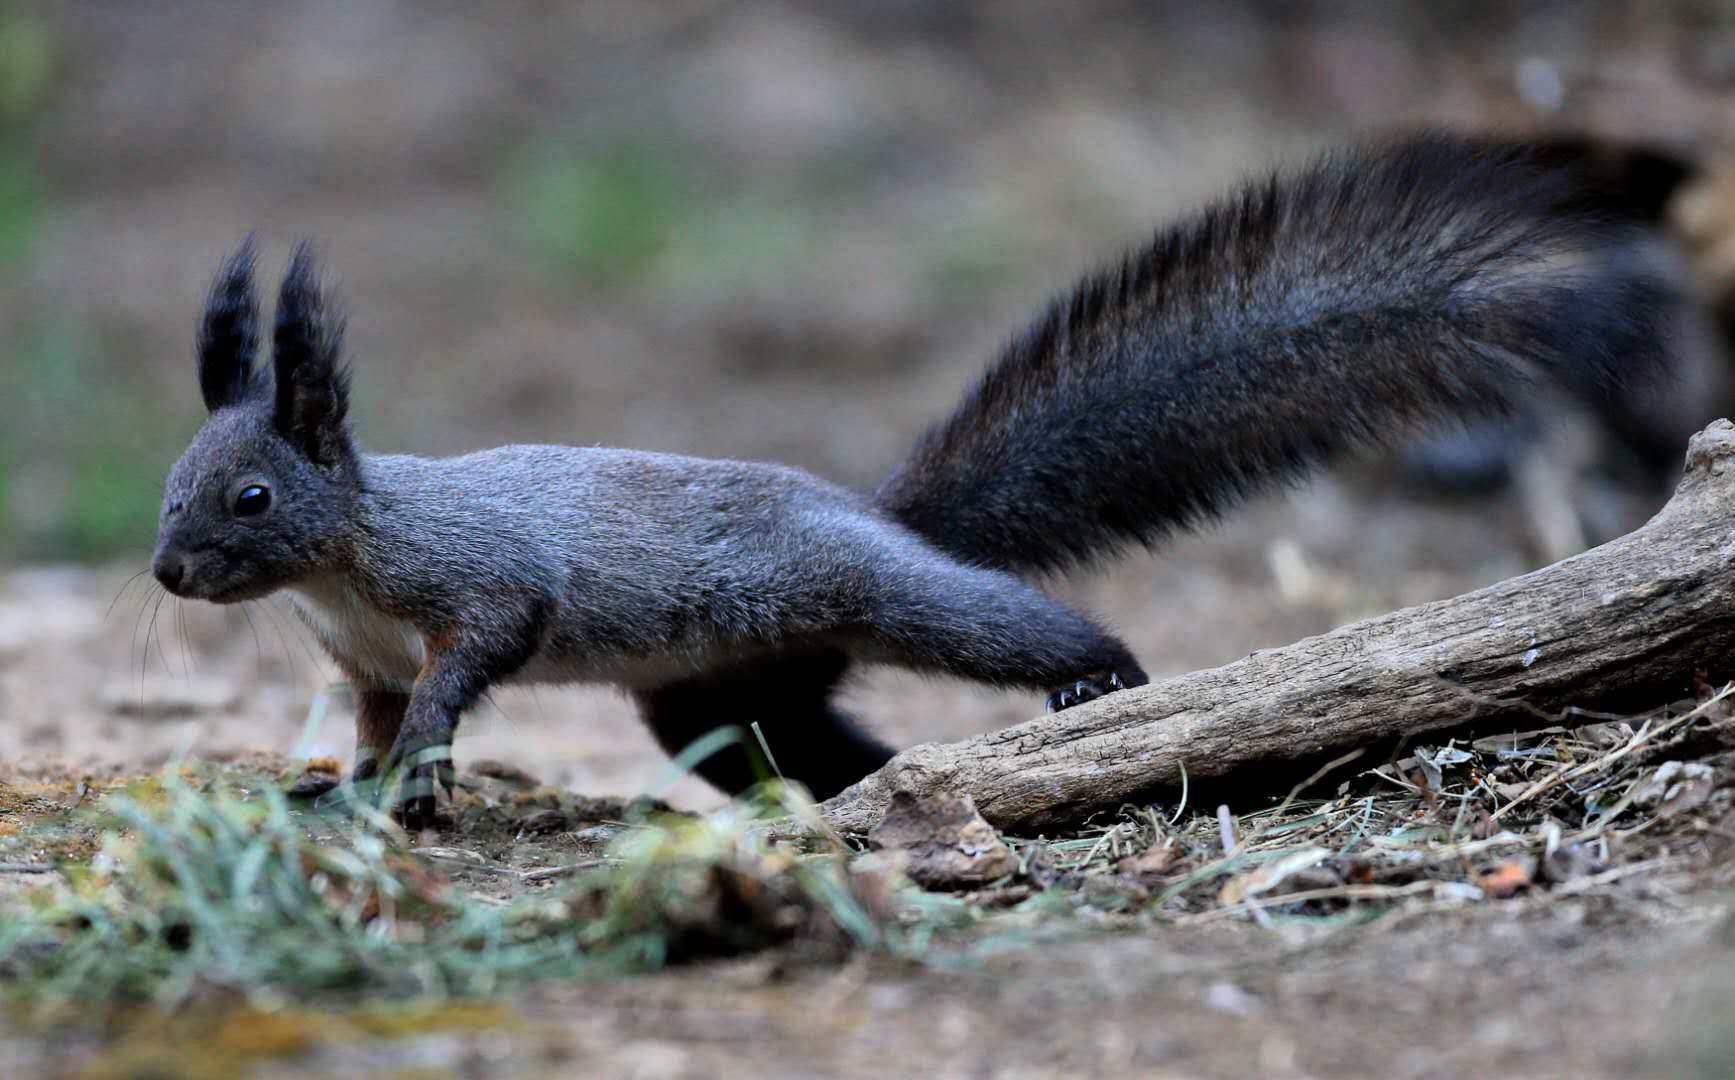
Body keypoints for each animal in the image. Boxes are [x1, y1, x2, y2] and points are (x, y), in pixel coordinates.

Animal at [156, 133, 1672, 829]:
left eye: (250, 498)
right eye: (175, 482)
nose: (167, 573)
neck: (345, 557)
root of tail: (874, 516)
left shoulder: (475, 580)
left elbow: (482, 651)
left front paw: (418, 766)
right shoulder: (360, 658)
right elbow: (365, 722)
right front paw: (343, 787)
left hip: (880, 598)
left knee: (1005, 624)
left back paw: (1095, 684)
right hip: (719, 699)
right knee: (808, 747)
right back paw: (862, 799)